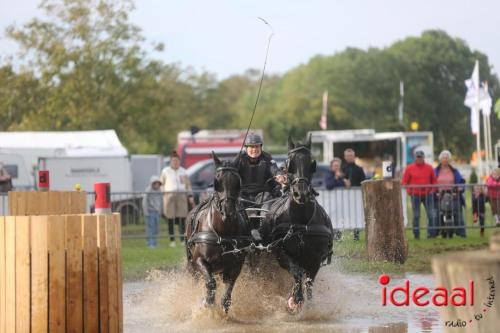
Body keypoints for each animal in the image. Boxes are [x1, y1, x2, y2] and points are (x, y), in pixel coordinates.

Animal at [185, 153, 249, 312]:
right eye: (216, 182)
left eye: (237, 183)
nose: (228, 211)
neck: (223, 233)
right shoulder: (199, 260)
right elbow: (211, 284)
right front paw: (207, 302)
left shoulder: (236, 265)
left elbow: (227, 292)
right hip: (191, 265)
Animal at [260, 136, 334, 312]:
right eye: (288, 164)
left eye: (312, 164)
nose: (301, 194)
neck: (301, 222)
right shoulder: (282, 254)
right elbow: (297, 273)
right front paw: (295, 300)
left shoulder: (315, 259)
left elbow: (309, 283)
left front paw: (308, 305)